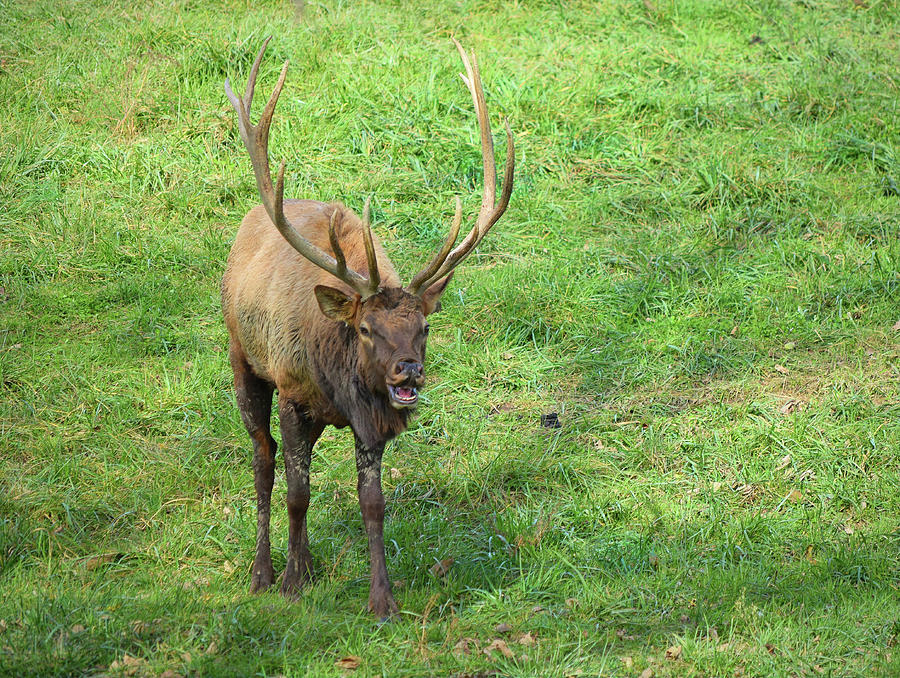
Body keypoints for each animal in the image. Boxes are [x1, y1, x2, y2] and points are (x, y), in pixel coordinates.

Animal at [220, 38, 512, 620]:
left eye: (424, 326)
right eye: (367, 328)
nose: (408, 371)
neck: (338, 379)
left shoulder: (369, 421)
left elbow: (372, 504)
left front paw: (383, 599)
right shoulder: (292, 390)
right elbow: (297, 493)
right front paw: (291, 583)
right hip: (244, 358)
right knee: (263, 459)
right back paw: (264, 572)